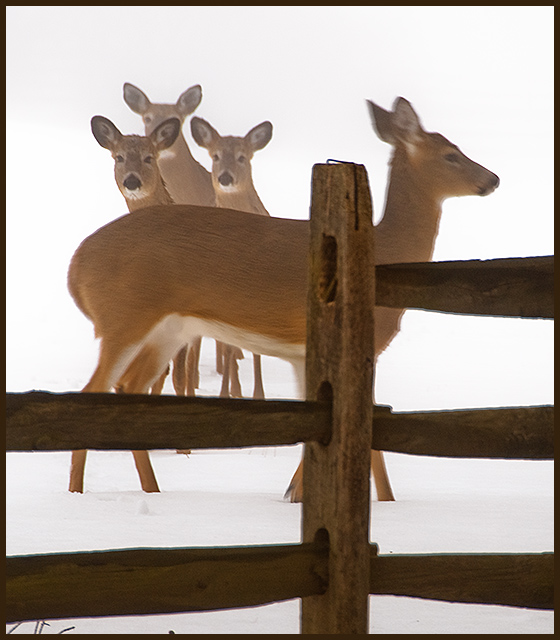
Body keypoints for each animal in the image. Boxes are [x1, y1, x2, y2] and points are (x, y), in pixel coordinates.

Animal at [190, 115, 274, 398]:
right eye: (215, 156)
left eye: (242, 157)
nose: (225, 177)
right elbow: (227, 346)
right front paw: (226, 393)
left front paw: (259, 394)